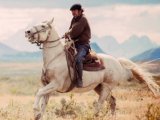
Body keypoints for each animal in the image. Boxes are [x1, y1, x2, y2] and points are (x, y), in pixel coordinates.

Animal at [25, 18, 160, 120]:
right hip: (99, 87)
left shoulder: (55, 84)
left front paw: (35, 109)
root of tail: (118, 63)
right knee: (112, 101)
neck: (55, 58)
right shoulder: (47, 85)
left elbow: (39, 93)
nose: (27, 32)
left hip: (106, 87)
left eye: (43, 25)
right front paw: (37, 114)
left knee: (99, 105)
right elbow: (43, 104)